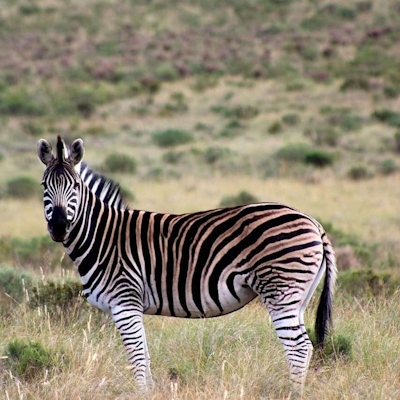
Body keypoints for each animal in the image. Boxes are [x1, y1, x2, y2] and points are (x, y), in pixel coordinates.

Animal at [38, 136, 338, 396]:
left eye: (76, 187)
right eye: (44, 186)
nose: (59, 226)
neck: (102, 237)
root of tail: (312, 221)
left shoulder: (124, 302)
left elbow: (136, 357)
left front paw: (142, 395)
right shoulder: (130, 306)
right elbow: (144, 356)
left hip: (280, 292)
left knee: (299, 348)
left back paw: (293, 394)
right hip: (298, 297)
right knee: (303, 346)